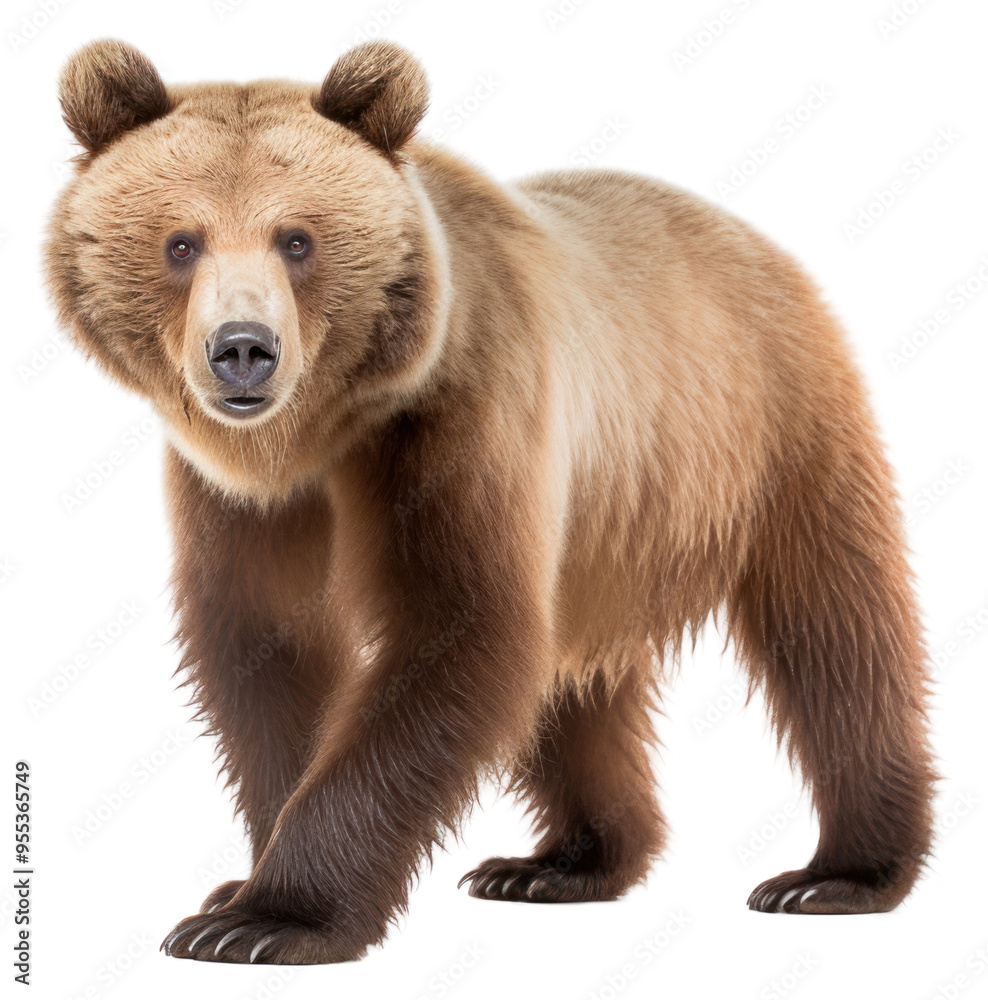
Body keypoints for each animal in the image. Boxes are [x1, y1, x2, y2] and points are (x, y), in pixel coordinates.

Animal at [46, 39, 936, 965]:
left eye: (297, 238)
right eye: (181, 242)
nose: (243, 350)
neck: (323, 434)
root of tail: (756, 240)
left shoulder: (461, 420)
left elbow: (461, 631)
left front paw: (266, 918)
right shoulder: (241, 501)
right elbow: (265, 647)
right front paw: (241, 883)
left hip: (774, 427)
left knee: (837, 630)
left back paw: (839, 874)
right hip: (607, 527)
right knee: (575, 687)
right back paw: (563, 863)